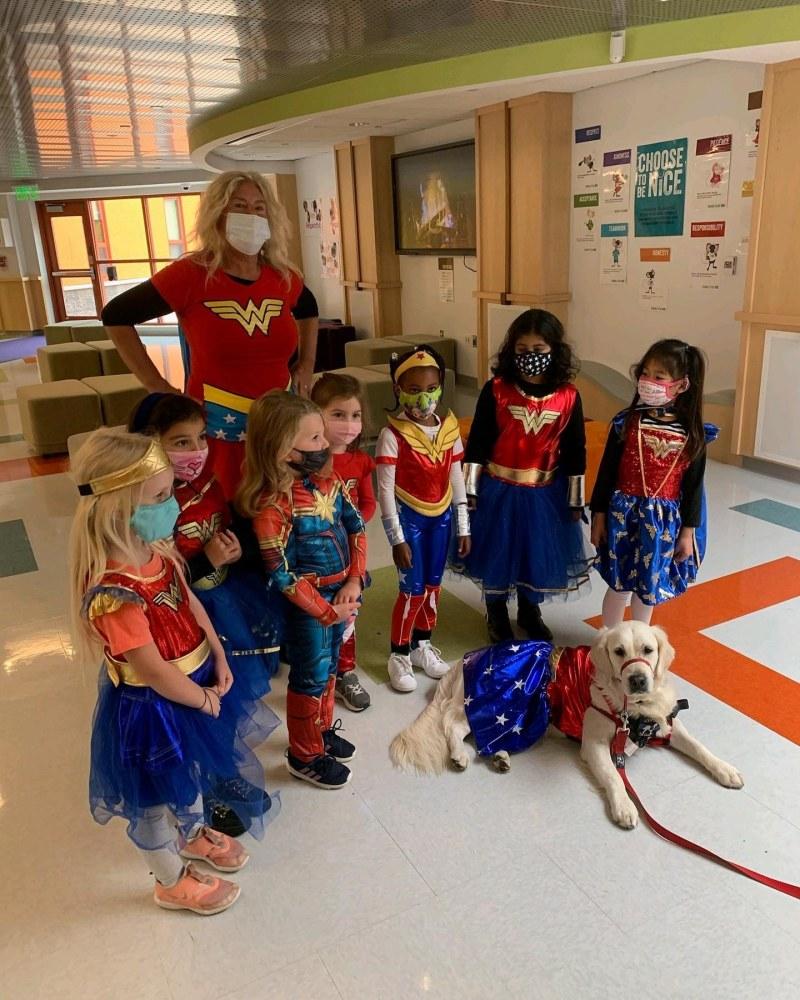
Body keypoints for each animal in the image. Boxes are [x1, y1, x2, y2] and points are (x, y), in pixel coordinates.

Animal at [390, 624, 748, 828]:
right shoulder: (595, 744)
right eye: (619, 652)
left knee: (482, 738)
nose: (638, 679)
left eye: (648, 650)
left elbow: (700, 746)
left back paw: (500, 756)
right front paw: (624, 807)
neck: (630, 706)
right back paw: (460, 756)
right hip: (495, 703)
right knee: (452, 723)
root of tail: (466, 658)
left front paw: (726, 769)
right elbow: (613, 777)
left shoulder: (667, 723)